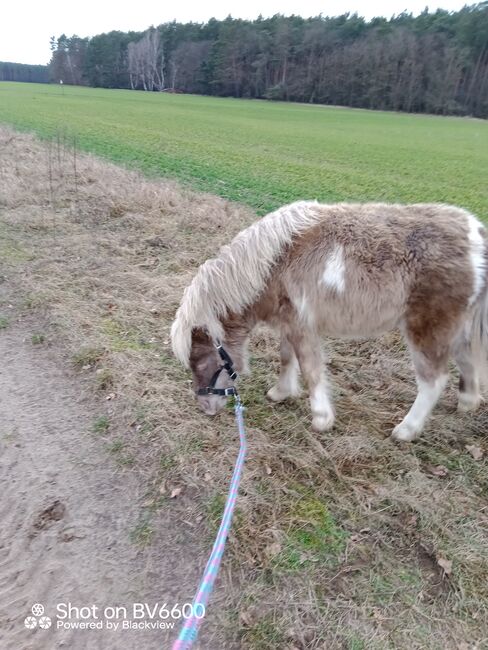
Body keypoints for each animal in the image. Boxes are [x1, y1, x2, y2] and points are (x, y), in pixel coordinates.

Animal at [170, 202, 486, 440]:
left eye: (199, 361)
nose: (205, 407)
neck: (274, 263)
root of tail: (477, 234)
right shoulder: (290, 323)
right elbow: (286, 358)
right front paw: (280, 393)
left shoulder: (302, 327)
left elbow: (311, 370)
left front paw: (322, 419)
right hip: (456, 326)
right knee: (466, 357)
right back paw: (467, 402)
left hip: (427, 329)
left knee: (434, 381)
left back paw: (406, 430)